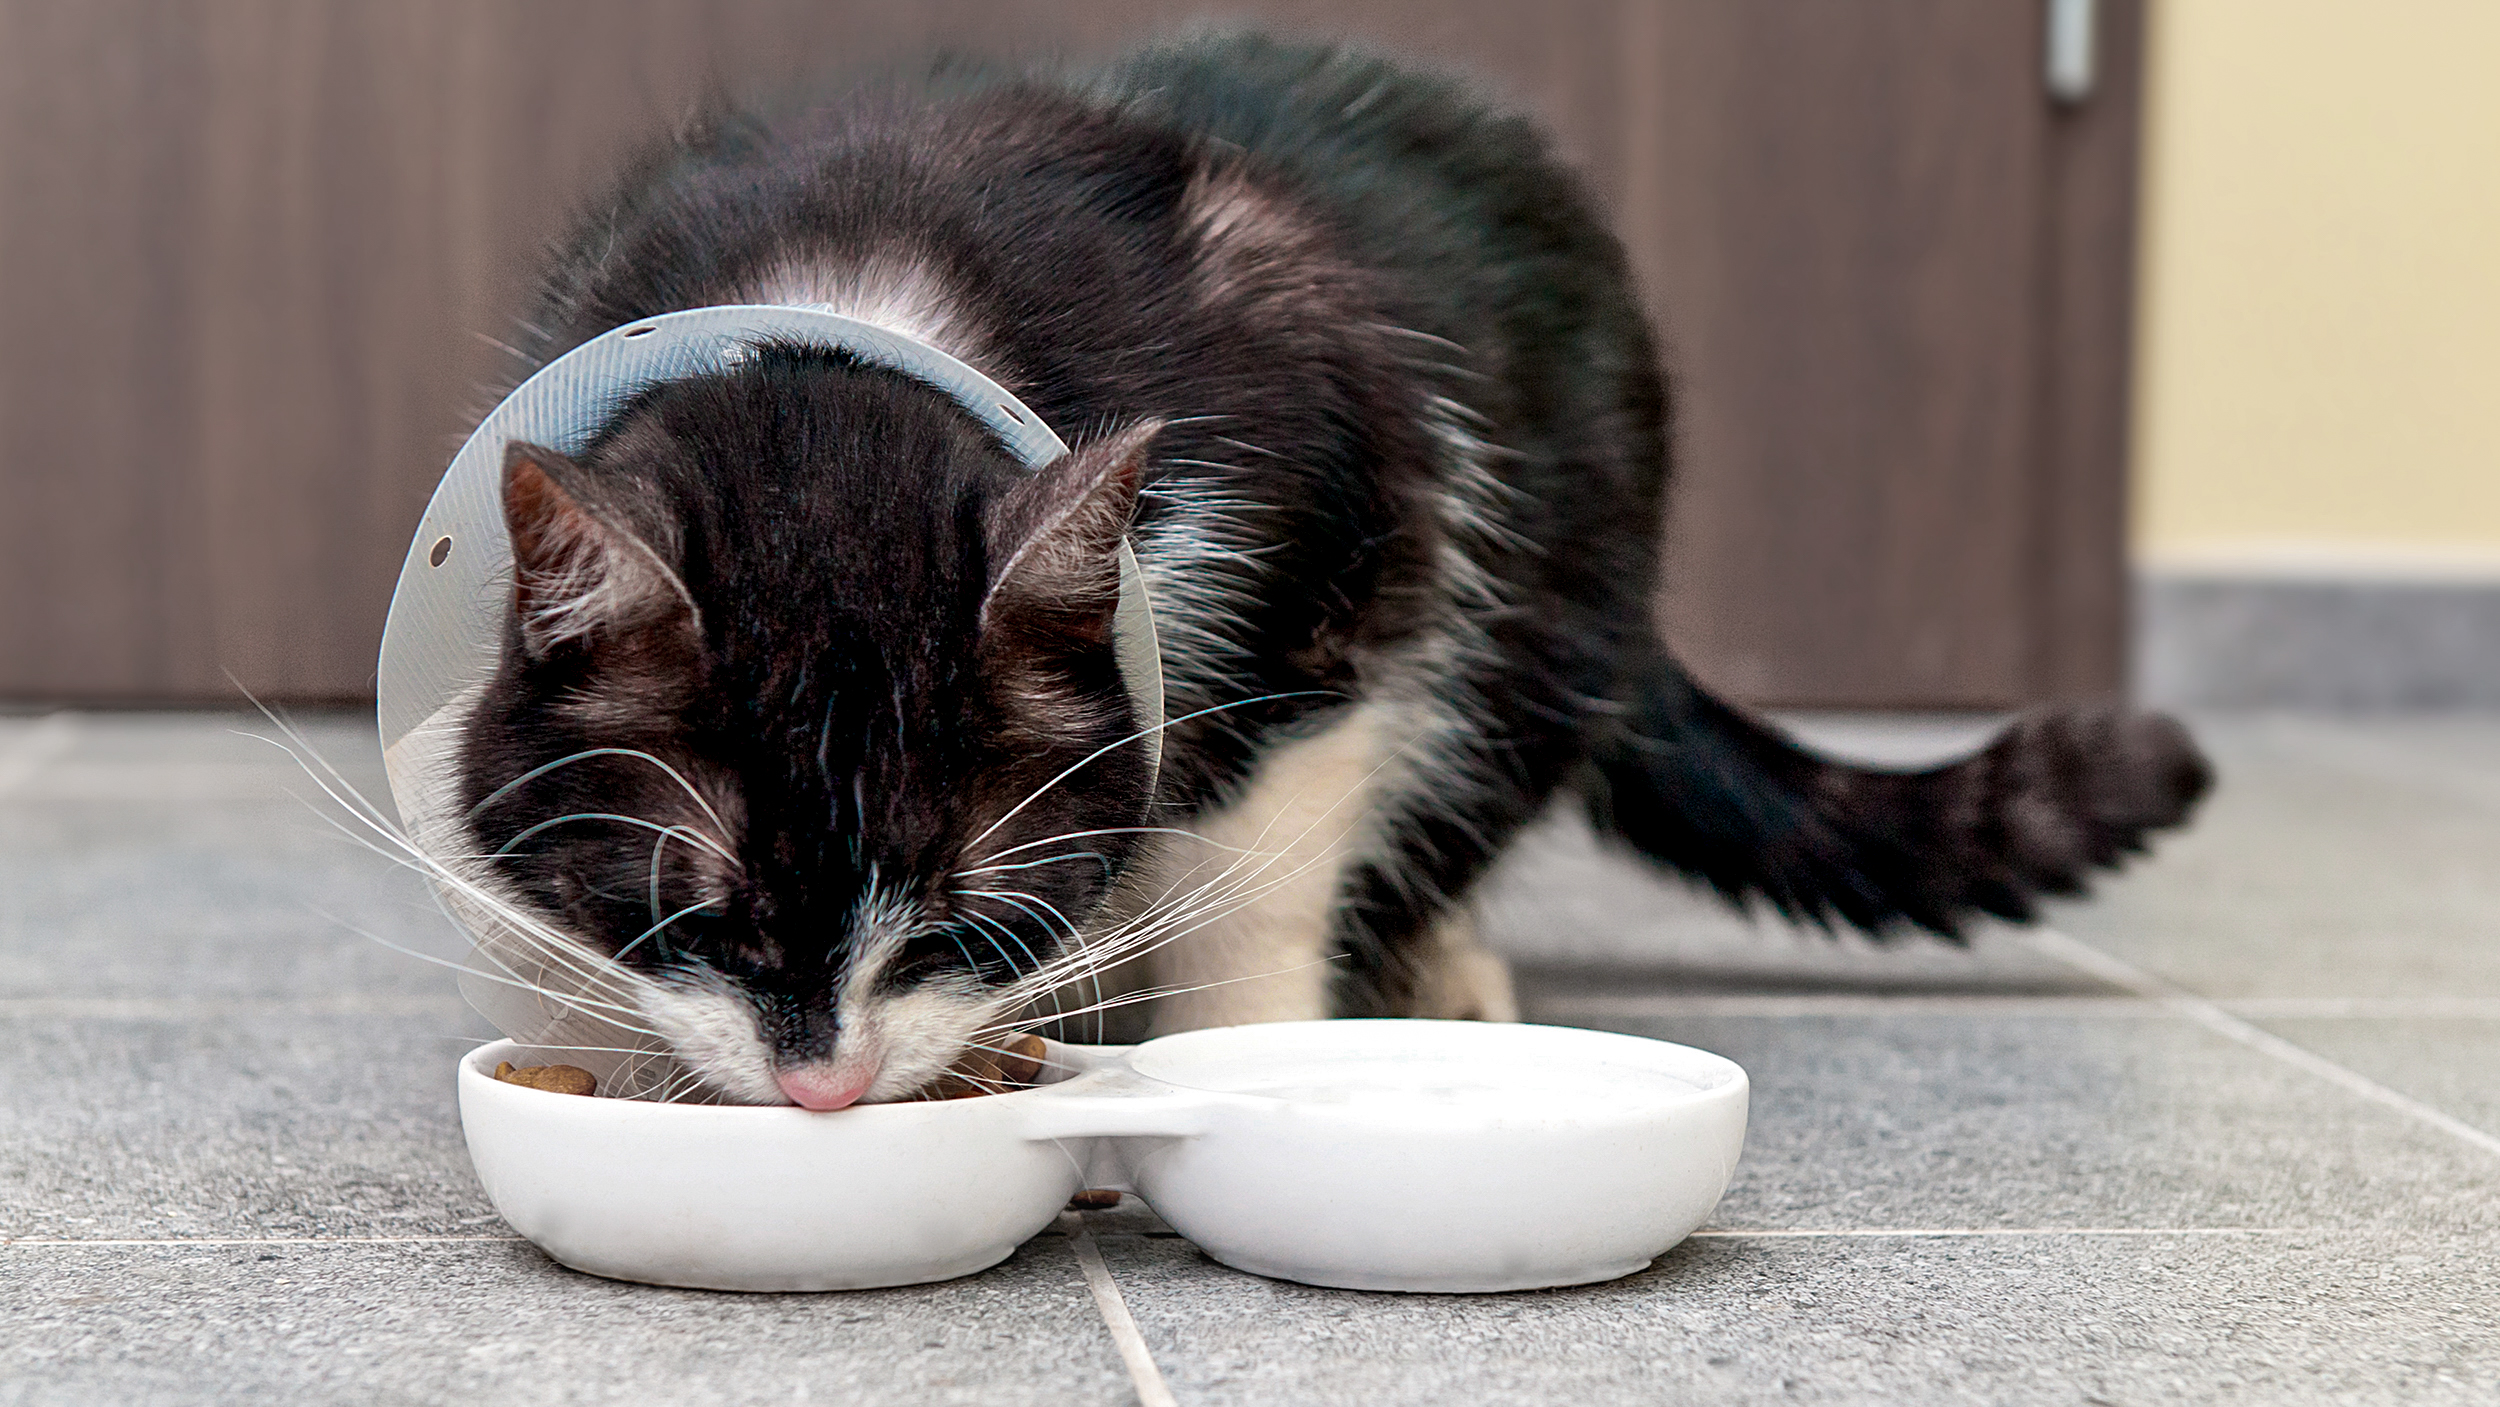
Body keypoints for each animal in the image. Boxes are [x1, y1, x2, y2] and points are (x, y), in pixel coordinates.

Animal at [445, 33, 2210, 1114]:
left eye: (972, 903)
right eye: (688, 900)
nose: (822, 1085)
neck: (862, 290)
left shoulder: (1351, 559)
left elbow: (1267, 849)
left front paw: (1243, 1070)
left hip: (1554, 599)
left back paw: (1443, 964)